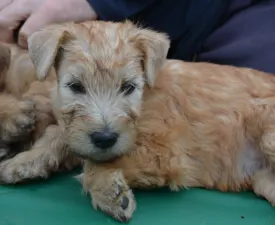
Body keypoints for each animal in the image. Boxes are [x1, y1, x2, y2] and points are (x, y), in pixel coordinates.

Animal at [0, 20, 275, 221]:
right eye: (75, 86)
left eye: (128, 86)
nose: (104, 138)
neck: (146, 97)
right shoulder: (77, 129)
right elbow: (61, 135)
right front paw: (24, 161)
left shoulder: (165, 152)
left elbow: (93, 165)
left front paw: (110, 191)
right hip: (262, 179)